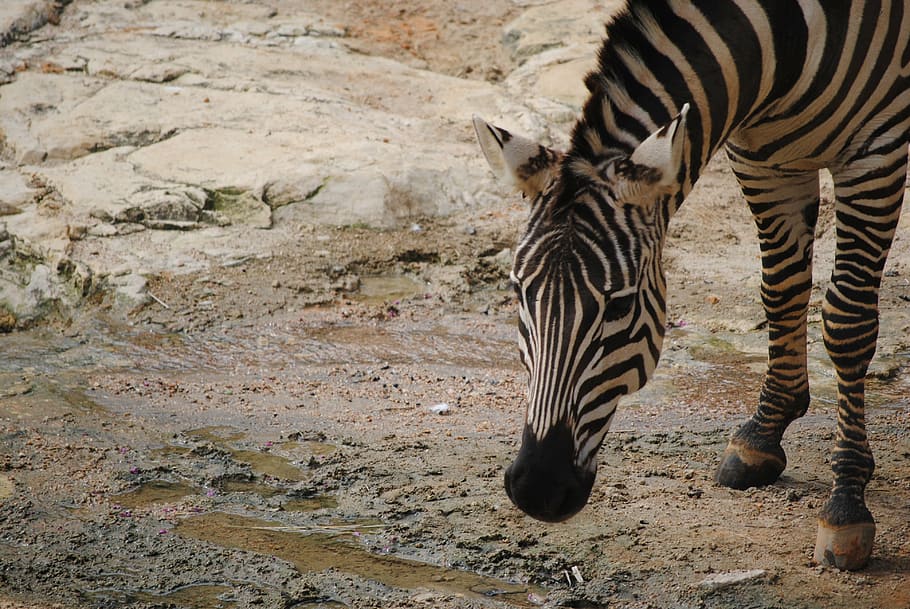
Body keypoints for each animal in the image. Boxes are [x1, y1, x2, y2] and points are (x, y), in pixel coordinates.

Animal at [474, 0, 910, 571]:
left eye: (620, 305)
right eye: (518, 292)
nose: (536, 489)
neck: (785, 40)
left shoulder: (877, 150)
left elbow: (847, 321)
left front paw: (846, 507)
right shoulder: (761, 159)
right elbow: (781, 289)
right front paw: (763, 435)